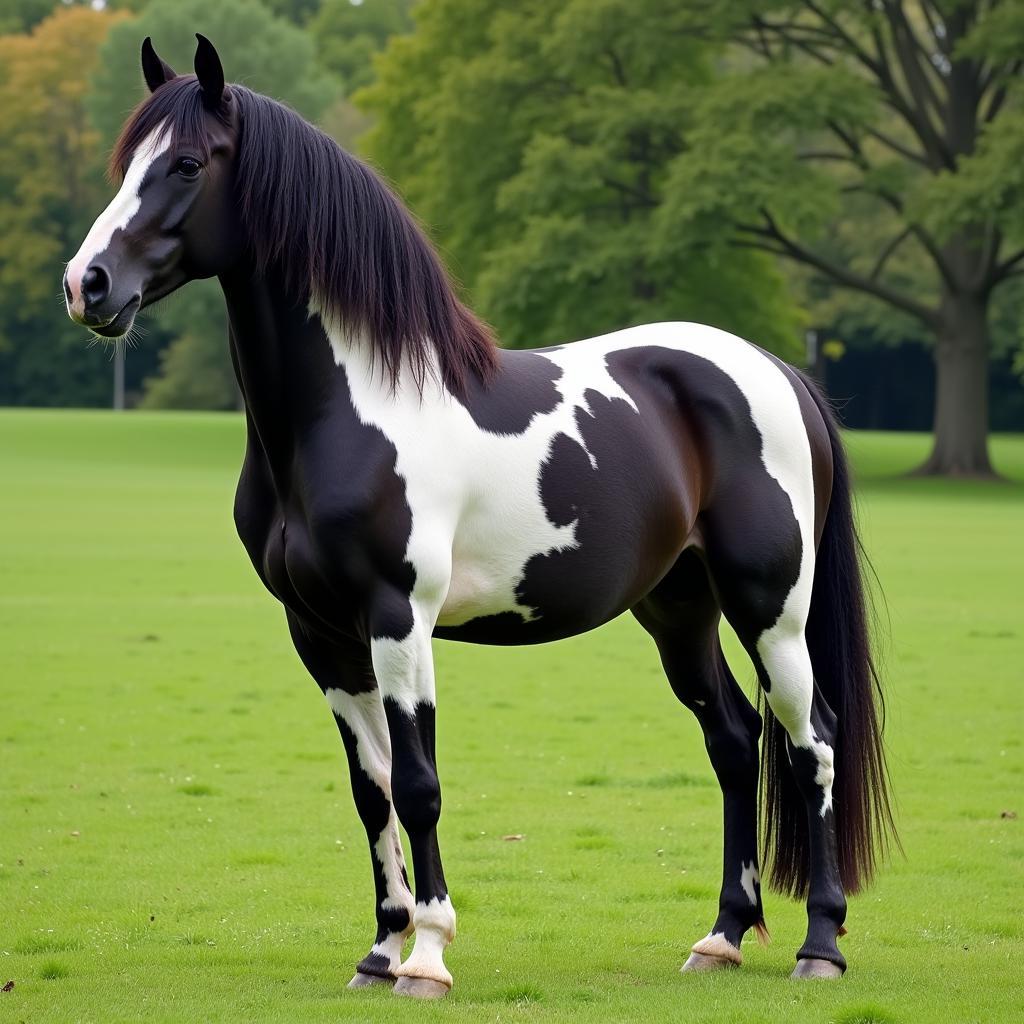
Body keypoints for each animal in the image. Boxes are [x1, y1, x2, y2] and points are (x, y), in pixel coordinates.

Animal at [66, 34, 897, 999]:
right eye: (128, 162)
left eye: (190, 164)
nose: (87, 285)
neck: (349, 408)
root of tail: (774, 370)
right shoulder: (320, 634)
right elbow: (373, 791)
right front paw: (381, 950)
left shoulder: (399, 620)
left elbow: (420, 784)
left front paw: (428, 955)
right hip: (679, 610)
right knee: (734, 742)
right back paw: (721, 936)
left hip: (772, 610)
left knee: (812, 746)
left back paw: (821, 945)